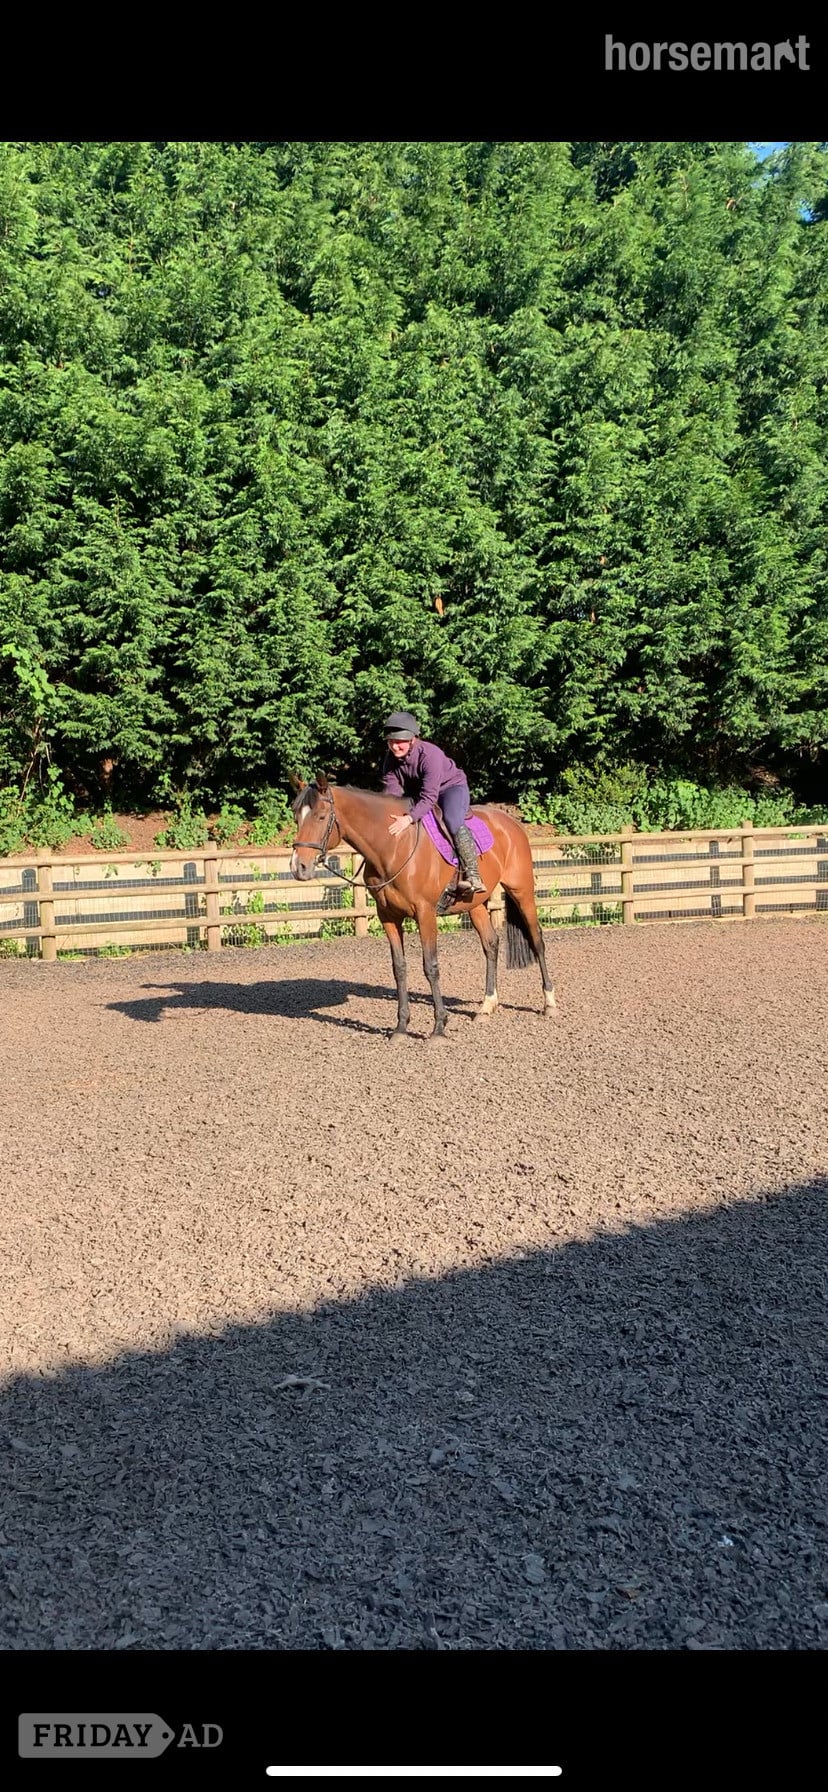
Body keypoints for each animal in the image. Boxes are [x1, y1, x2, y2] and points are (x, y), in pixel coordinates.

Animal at [289, 775, 556, 1039]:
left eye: (321, 816)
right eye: (296, 816)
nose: (298, 866)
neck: (393, 845)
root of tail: (510, 823)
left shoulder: (425, 913)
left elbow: (431, 966)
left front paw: (439, 1027)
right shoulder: (388, 916)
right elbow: (399, 968)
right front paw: (401, 1027)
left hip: (522, 892)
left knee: (537, 941)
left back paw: (549, 1003)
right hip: (476, 904)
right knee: (491, 944)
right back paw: (486, 1006)